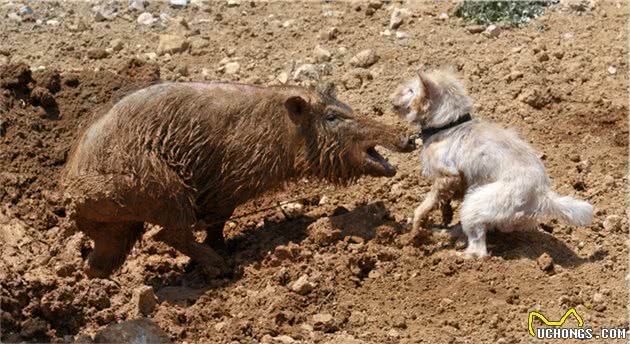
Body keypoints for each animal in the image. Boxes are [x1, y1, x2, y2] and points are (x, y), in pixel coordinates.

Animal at [392, 67, 596, 256]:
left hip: (476, 203)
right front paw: (445, 215)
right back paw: (444, 232)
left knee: (479, 250)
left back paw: (455, 255)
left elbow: (424, 206)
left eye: (411, 90)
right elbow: (444, 200)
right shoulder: (456, 182)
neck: (448, 125)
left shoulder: (448, 175)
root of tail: (541, 195)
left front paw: (416, 229)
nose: (391, 100)